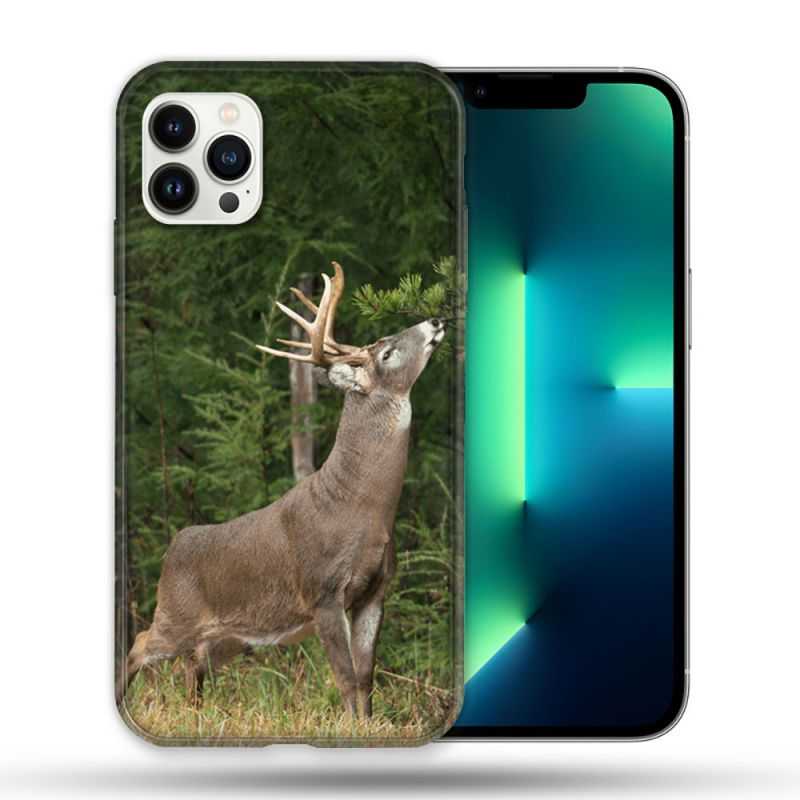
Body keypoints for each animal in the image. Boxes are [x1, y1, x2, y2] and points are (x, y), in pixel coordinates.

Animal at [117, 262, 446, 718]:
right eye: (386, 352)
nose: (435, 320)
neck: (361, 507)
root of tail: (173, 546)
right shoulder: (323, 591)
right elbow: (345, 677)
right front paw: (352, 726)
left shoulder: (376, 591)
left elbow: (366, 677)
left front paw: (370, 724)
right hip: (174, 613)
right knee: (140, 643)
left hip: (228, 637)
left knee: (193, 664)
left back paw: (196, 714)